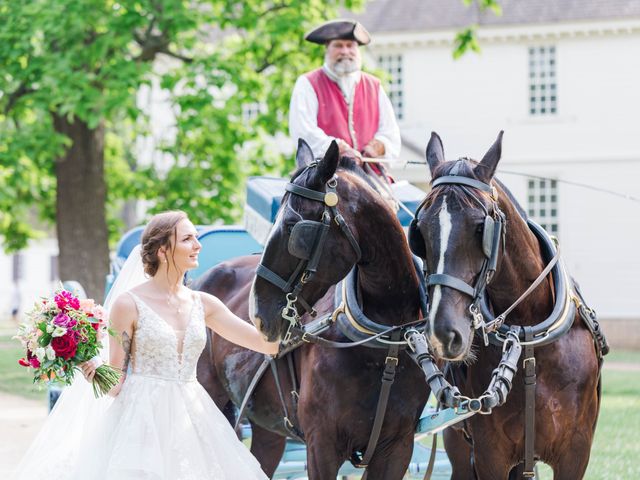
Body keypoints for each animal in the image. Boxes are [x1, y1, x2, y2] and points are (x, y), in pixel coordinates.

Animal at [195, 141, 430, 478]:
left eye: (293, 228)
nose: (257, 314)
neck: (385, 341)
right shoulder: (322, 444)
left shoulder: (398, 447)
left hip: (268, 429)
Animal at [408, 131, 604, 480]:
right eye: (419, 232)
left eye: (479, 227)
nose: (444, 334)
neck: (529, 338)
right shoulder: (490, 454)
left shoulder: (576, 452)